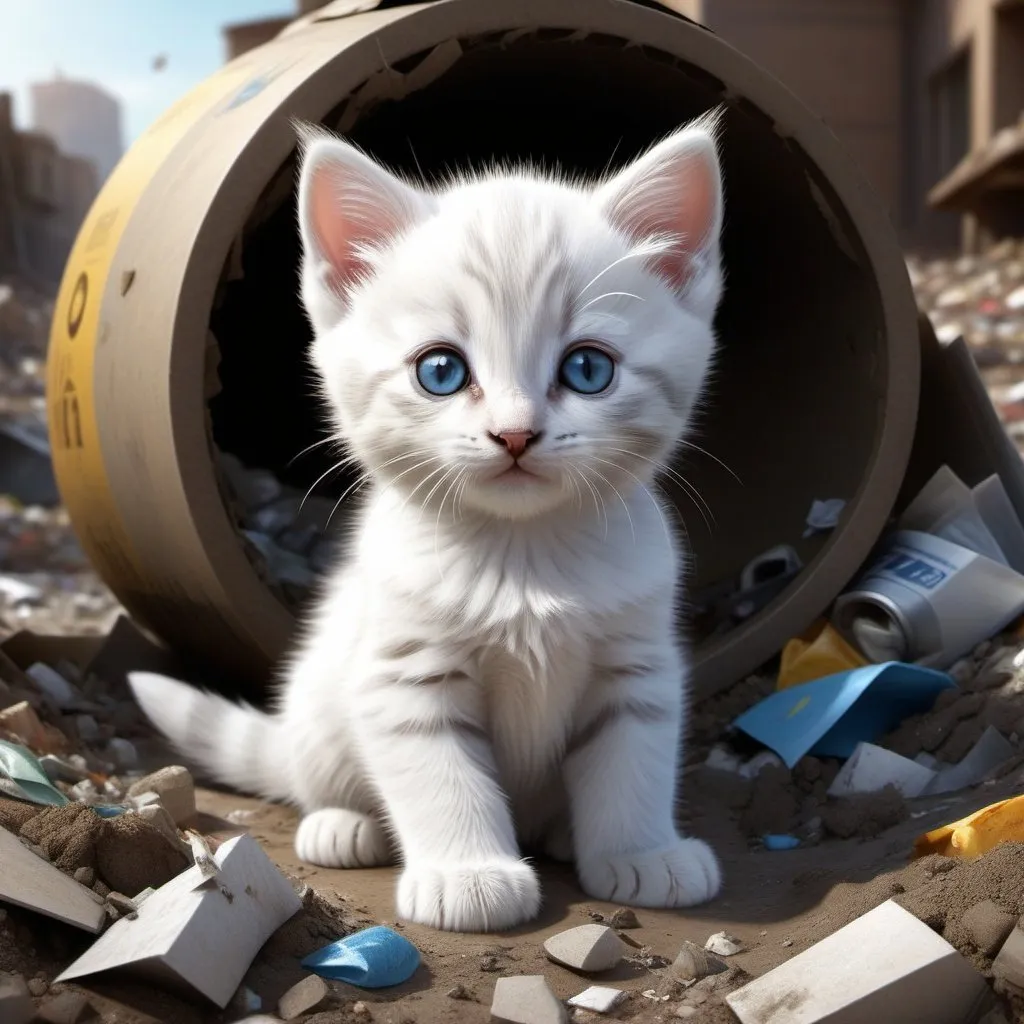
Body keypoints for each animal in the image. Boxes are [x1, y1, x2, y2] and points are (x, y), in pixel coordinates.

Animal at [130, 110, 729, 929]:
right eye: (440, 371)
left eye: (588, 369)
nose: (515, 433)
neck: (523, 555)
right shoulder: (403, 675)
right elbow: (440, 775)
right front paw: (468, 875)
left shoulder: (637, 666)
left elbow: (632, 763)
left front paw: (641, 852)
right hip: (319, 696)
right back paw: (343, 824)